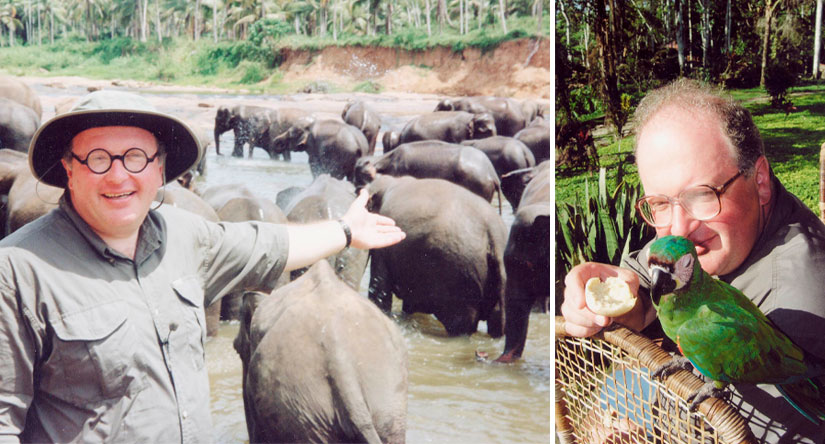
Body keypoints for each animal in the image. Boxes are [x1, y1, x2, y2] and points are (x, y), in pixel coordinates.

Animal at [354, 140, 502, 206]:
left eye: (361, 175)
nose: (357, 191)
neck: (382, 158)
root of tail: (492, 174)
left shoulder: (399, 170)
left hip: (477, 183)